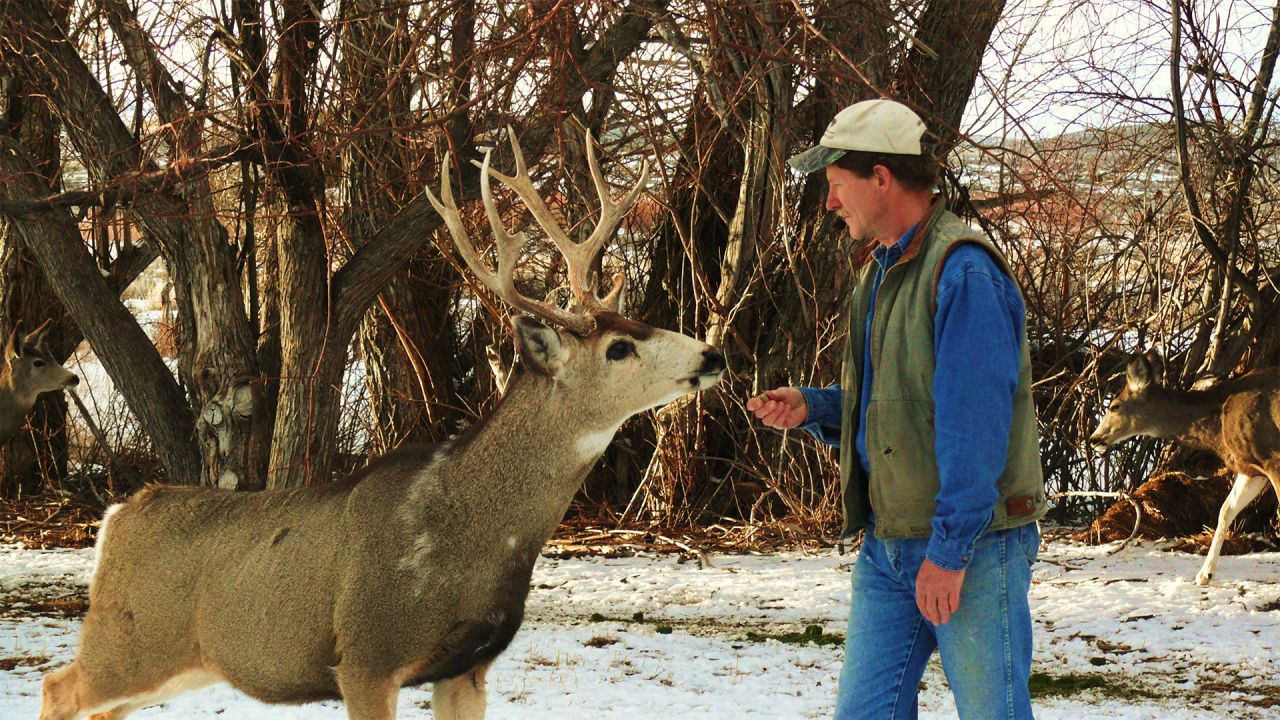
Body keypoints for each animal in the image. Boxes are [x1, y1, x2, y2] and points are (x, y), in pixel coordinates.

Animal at [38, 129, 726, 720]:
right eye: (619, 348)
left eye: (638, 323)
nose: (712, 355)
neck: (471, 534)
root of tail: (116, 517)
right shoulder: (367, 655)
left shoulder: (467, 665)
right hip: (127, 642)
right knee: (54, 685)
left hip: (167, 662)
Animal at [1089, 350, 1280, 585]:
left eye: (1114, 406)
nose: (1094, 439)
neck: (1219, 426)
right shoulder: (1250, 467)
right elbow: (1225, 510)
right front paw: (1204, 575)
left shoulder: (1272, 457)